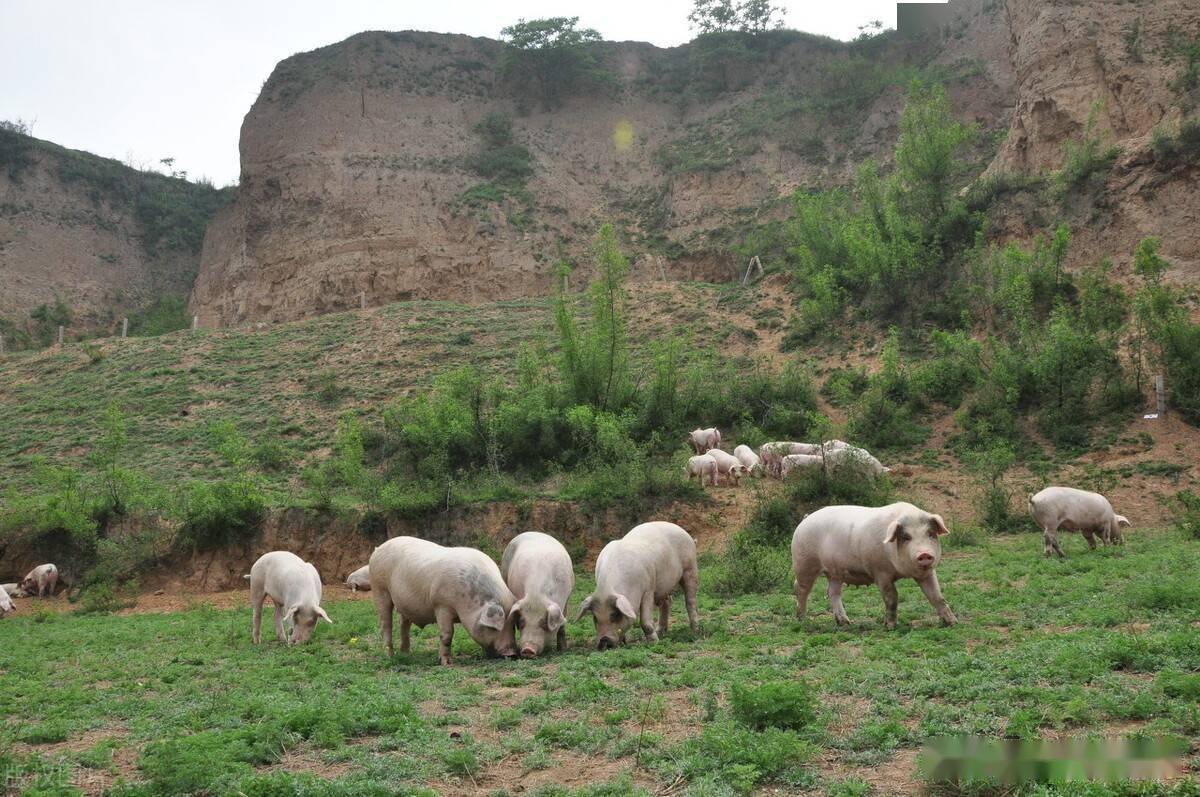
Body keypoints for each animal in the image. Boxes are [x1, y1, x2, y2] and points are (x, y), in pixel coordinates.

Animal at [364, 535, 516, 667]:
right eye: (495, 628)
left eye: (513, 626)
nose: (513, 654)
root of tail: (378, 548)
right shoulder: (441, 605)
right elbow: (447, 634)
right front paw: (446, 663)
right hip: (379, 588)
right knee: (386, 624)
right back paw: (389, 656)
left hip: (403, 603)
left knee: (403, 624)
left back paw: (406, 654)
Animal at [576, 520, 700, 652]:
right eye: (595, 617)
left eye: (615, 615)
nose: (604, 641)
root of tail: (684, 532)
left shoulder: (648, 589)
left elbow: (645, 620)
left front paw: (654, 643)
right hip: (664, 586)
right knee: (667, 602)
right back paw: (661, 632)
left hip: (690, 568)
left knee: (690, 600)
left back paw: (695, 631)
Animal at [787, 504, 955, 628]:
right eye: (906, 537)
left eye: (930, 534)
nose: (924, 554)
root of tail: (805, 520)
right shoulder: (880, 572)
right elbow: (891, 598)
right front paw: (890, 627)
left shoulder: (928, 573)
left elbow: (936, 596)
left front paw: (952, 622)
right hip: (804, 563)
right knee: (801, 589)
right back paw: (802, 619)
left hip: (834, 572)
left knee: (832, 592)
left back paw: (845, 623)